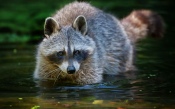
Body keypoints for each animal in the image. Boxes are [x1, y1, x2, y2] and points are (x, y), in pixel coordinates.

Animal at [33, 1, 164, 84]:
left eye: (77, 52)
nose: (71, 70)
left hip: (120, 53)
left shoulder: (93, 60)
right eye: (60, 53)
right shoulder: (43, 63)